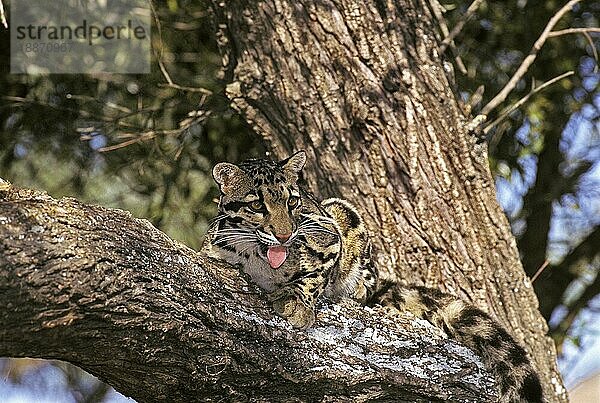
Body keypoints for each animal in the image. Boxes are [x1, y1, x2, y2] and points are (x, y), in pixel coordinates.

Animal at [204, 152, 548, 403]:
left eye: (292, 201)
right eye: (256, 204)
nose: (285, 234)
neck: (260, 258)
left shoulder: (328, 235)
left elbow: (315, 275)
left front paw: (297, 301)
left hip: (345, 214)